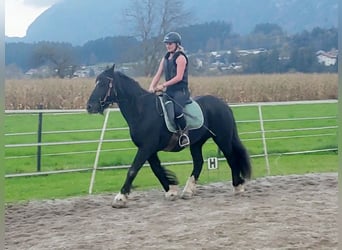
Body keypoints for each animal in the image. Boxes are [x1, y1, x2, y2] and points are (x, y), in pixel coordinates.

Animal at [85, 64, 251, 207]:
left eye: (103, 84)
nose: (90, 106)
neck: (141, 110)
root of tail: (223, 105)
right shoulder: (149, 149)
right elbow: (157, 169)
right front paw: (171, 191)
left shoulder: (146, 147)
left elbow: (133, 169)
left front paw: (120, 198)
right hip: (197, 143)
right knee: (199, 162)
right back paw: (188, 191)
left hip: (222, 138)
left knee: (231, 158)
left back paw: (238, 186)